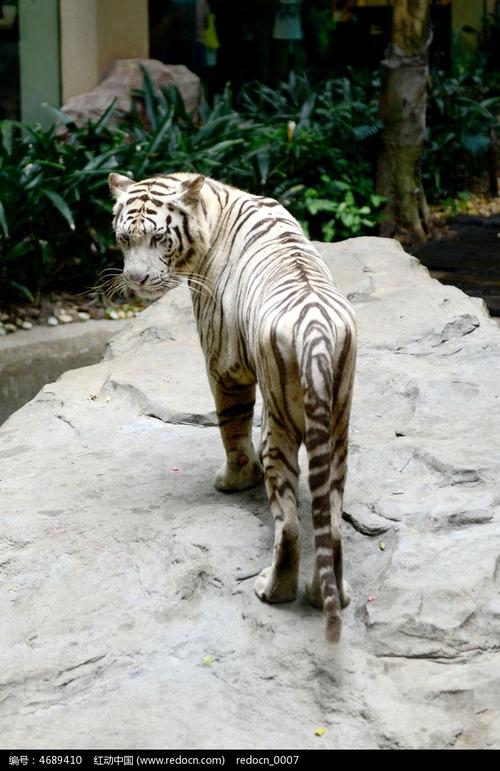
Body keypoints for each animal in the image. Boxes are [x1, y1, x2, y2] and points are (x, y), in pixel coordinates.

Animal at [109, 171, 357, 642]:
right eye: (124, 239)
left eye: (158, 239)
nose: (137, 280)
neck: (215, 204)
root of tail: (315, 336)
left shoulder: (223, 363)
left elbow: (230, 426)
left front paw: (233, 479)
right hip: (337, 430)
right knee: (329, 523)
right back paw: (328, 594)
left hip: (279, 428)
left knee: (290, 524)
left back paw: (272, 590)